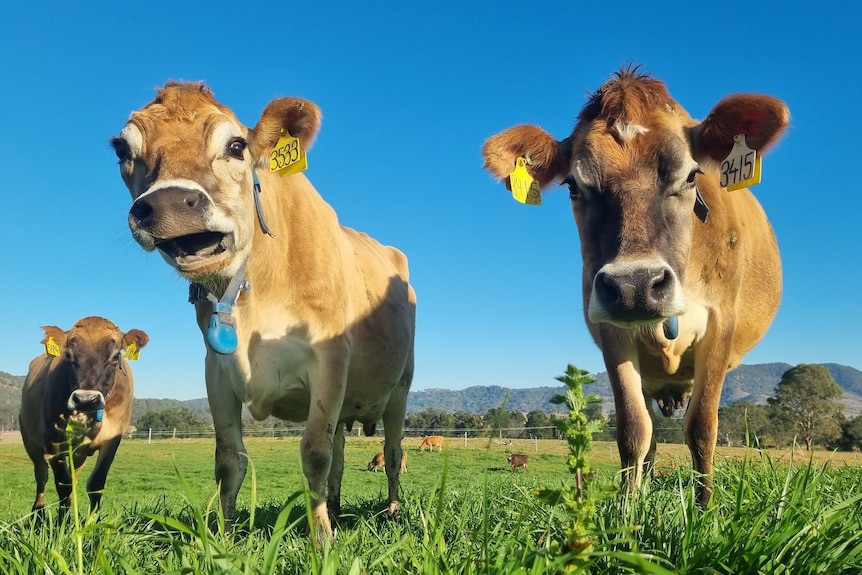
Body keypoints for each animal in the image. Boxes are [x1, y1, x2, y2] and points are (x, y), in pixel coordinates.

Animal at [17, 318, 149, 516]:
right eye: (68, 355)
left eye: (115, 356)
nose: (86, 399)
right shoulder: (52, 441)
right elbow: (63, 485)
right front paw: (62, 522)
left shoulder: (112, 439)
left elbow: (95, 484)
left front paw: (91, 521)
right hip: (30, 440)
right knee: (41, 475)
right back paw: (38, 513)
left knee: (74, 477)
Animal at [111, 82, 418, 540]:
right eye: (122, 149)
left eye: (236, 146)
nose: (170, 203)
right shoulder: (216, 370)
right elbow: (229, 459)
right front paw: (224, 534)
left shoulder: (330, 358)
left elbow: (314, 453)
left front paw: (321, 539)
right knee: (341, 453)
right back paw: (337, 507)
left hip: (400, 386)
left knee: (392, 452)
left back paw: (393, 511)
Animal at [486, 67, 788, 506]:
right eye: (574, 186)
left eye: (691, 175)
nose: (634, 286)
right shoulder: (611, 329)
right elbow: (633, 429)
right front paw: (628, 508)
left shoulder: (721, 324)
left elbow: (702, 428)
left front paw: (704, 509)